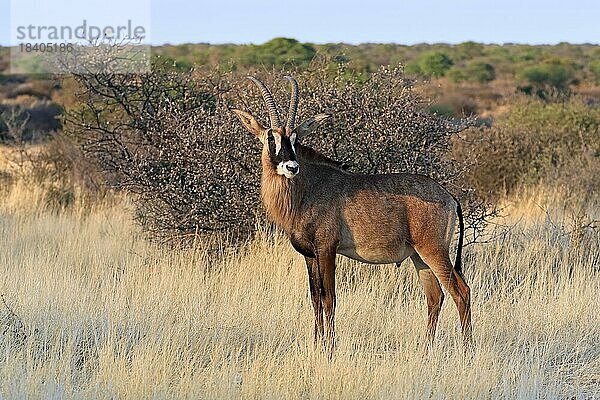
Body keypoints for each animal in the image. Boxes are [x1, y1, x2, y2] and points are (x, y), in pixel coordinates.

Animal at [234, 76, 474, 354]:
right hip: (418, 256)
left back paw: (467, 348)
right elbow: (314, 298)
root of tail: (449, 197)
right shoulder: (309, 255)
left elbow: (329, 297)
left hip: (434, 251)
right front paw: (317, 343)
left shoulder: (327, 249)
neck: (308, 188)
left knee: (460, 291)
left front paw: (329, 347)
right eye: (270, 139)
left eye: (294, 140)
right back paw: (425, 348)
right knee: (435, 296)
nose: (291, 167)